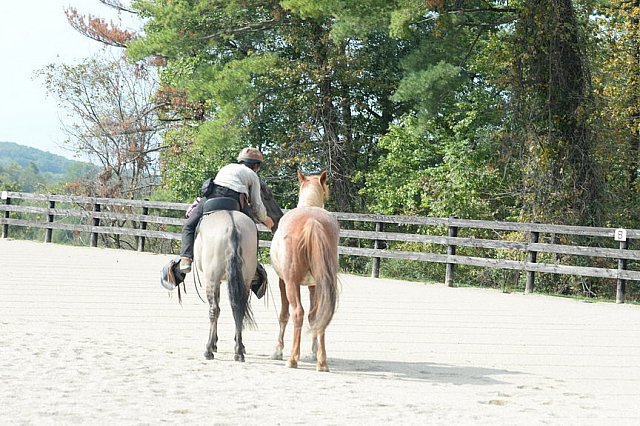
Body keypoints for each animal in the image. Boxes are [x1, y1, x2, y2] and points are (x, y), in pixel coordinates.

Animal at [192, 201, 258, 362]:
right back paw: (239, 350)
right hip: (245, 279)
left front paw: (213, 344)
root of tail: (233, 228)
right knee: (238, 308)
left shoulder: (216, 280)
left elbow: (217, 309)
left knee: (214, 310)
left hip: (212, 278)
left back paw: (208, 350)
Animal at [268, 171, 340, 372]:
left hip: (291, 284)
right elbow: (314, 316)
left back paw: (293, 359)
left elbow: (284, 315)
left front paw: (277, 350)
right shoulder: (314, 285)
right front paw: (315, 351)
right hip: (323, 283)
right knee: (321, 315)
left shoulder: (283, 282)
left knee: (297, 313)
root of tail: (312, 221)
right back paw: (322, 362)